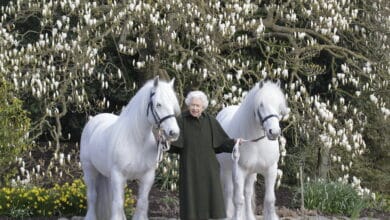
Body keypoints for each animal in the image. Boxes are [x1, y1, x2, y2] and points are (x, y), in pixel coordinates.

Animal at [81, 76, 182, 219]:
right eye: (158, 104)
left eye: (173, 105)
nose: (174, 132)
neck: (136, 140)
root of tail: (94, 120)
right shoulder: (118, 175)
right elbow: (118, 203)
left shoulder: (147, 176)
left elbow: (142, 203)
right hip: (89, 169)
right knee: (92, 196)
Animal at [218, 81, 288, 220]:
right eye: (261, 104)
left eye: (278, 105)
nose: (274, 132)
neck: (257, 143)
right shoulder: (238, 171)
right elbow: (238, 200)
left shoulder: (271, 170)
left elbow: (269, 199)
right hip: (226, 170)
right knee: (229, 191)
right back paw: (227, 215)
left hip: (251, 173)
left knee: (248, 192)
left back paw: (249, 216)